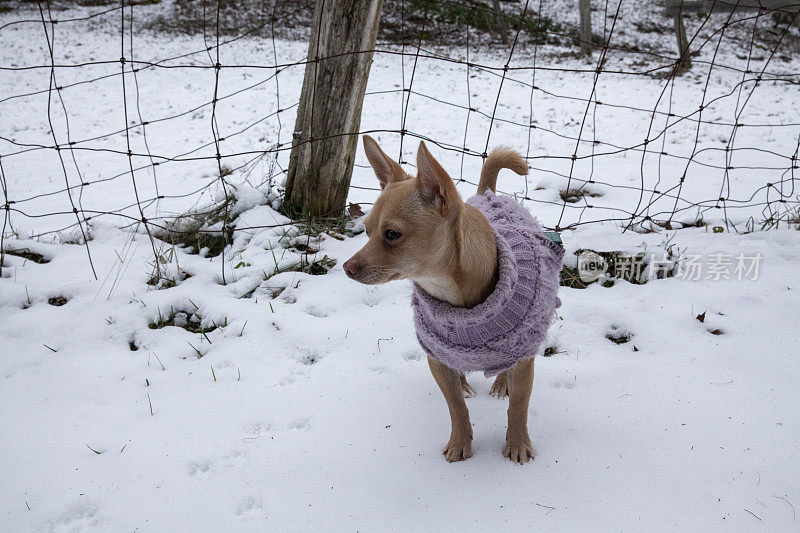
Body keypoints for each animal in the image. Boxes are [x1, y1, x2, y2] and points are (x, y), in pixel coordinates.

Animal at [342, 134, 536, 462]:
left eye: (392, 234)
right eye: (366, 231)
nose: (347, 267)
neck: (453, 291)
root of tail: (487, 194)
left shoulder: (524, 356)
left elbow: (518, 406)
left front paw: (517, 444)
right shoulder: (436, 358)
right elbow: (456, 406)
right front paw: (460, 443)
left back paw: (500, 384)